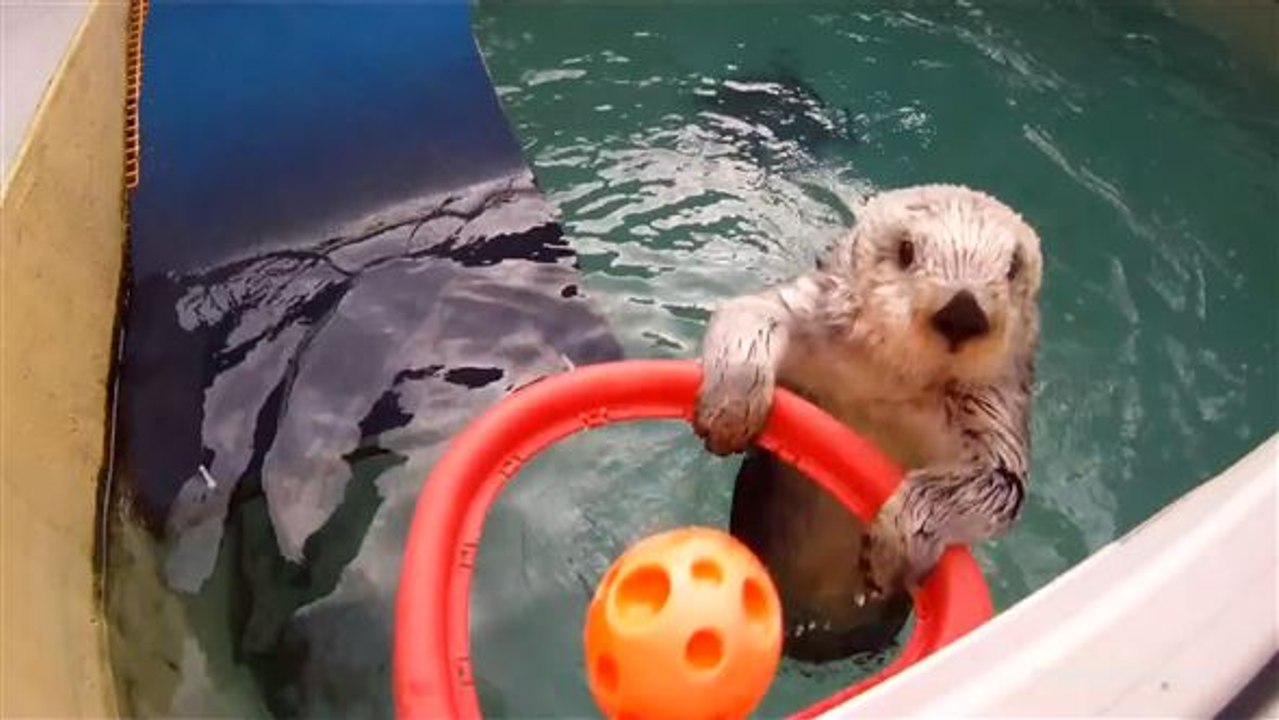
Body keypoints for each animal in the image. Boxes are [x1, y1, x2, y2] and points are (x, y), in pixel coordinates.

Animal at [693, 184, 1042, 663]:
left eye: (1012, 268)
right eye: (907, 249)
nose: (963, 312)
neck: (894, 382)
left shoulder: (993, 416)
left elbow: (996, 484)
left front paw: (891, 547)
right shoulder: (814, 316)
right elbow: (752, 313)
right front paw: (733, 405)